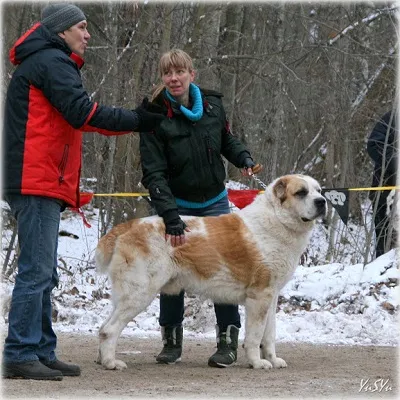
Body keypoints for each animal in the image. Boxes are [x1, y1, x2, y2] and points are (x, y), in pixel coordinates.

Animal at [95, 173, 326, 370]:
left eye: (319, 190)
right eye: (301, 192)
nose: (322, 201)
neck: (277, 219)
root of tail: (127, 226)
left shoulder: (271, 295)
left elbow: (269, 335)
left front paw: (273, 359)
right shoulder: (259, 297)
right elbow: (255, 335)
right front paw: (257, 362)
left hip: (126, 295)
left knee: (103, 327)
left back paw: (102, 360)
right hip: (139, 293)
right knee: (109, 330)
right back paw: (111, 363)